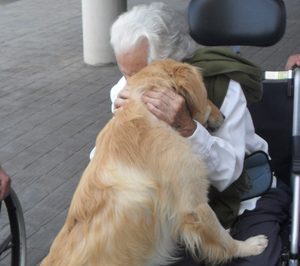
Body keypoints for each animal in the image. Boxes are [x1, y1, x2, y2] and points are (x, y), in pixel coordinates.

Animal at [41, 60, 268, 266]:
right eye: (205, 94)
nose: (223, 115)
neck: (147, 112)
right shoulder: (193, 202)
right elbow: (221, 236)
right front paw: (248, 246)